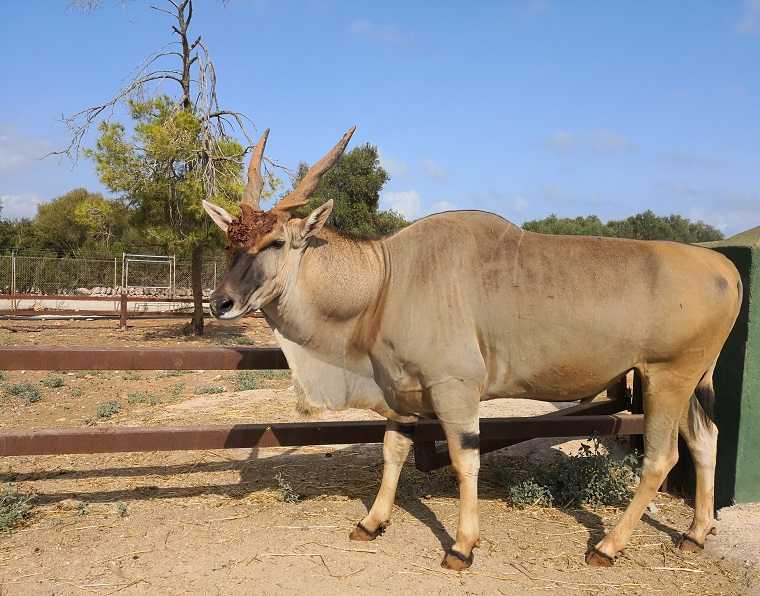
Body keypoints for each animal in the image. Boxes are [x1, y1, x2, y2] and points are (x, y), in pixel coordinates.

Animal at [202, 128, 744, 572]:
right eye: (228, 240)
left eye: (275, 242)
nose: (220, 302)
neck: (386, 278)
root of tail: (727, 269)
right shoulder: (401, 396)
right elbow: (393, 452)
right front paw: (372, 522)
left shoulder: (455, 390)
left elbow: (466, 461)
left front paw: (462, 547)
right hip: (682, 382)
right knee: (705, 439)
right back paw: (695, 534)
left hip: (666, 378)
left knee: (661, 457)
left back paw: (608, 547)